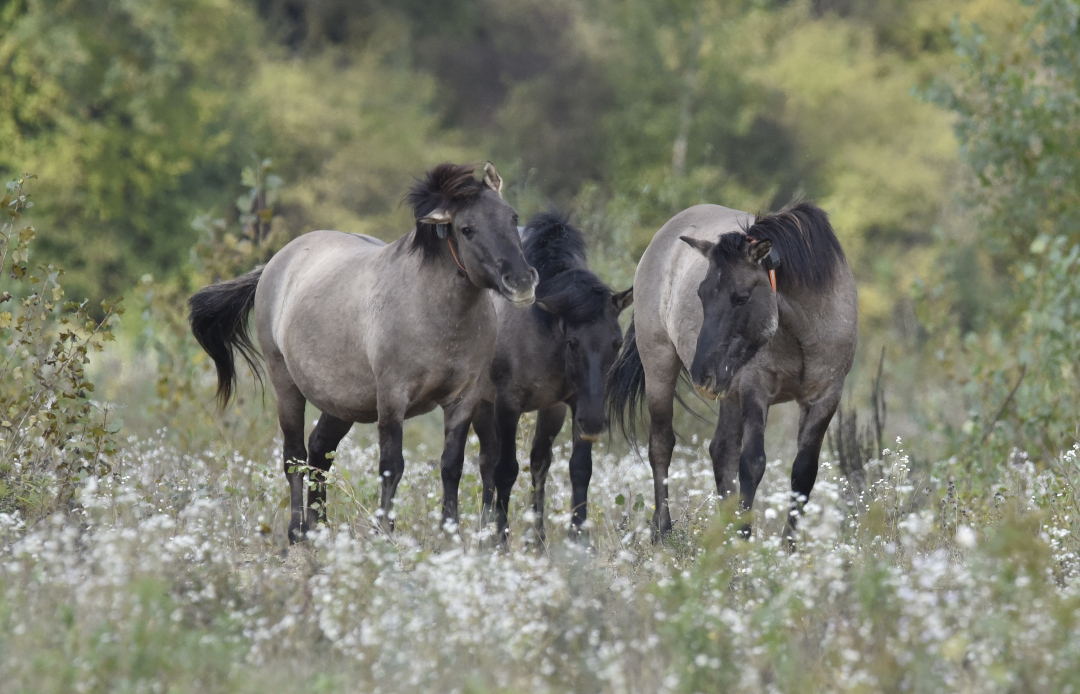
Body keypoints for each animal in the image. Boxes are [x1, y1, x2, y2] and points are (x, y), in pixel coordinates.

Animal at [190, 162, 540, 543]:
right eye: (467, 229)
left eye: (512, 216)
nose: (522, 282)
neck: (436, 314)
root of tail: (275, 263)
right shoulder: (392, 398)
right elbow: (391, 467)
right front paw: (384, 534)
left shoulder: (464, 399)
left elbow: (451, 465)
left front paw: (451, 535)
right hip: (286, 384)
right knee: (294, 455)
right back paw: (298, 533)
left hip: (342, 403)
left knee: (319, 451)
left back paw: (319, 528)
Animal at [473, 212, 630, 548]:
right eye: (572, 342)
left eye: (617, 343)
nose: (595, 423)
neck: (539, 324)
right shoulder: (507, 404)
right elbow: (506, 469)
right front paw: (501, 540)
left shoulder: (569, 404)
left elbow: (578, 469)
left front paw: (579, 541)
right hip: (480, 404)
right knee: (487, 462)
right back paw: (484, 534)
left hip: (551, 411)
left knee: (537, 462)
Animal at [609, 200, 851, 543]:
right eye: (701, 294)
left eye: (741, 298)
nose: (702, 374)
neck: (804, 330)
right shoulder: (756, 389)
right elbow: (752, 463)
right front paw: (744, 539)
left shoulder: (825, 397)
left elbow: (803, 473)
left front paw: (787, 546)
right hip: (661, 364)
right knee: (661, 445)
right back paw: (663, 532)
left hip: (729, 392)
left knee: (721, 452)